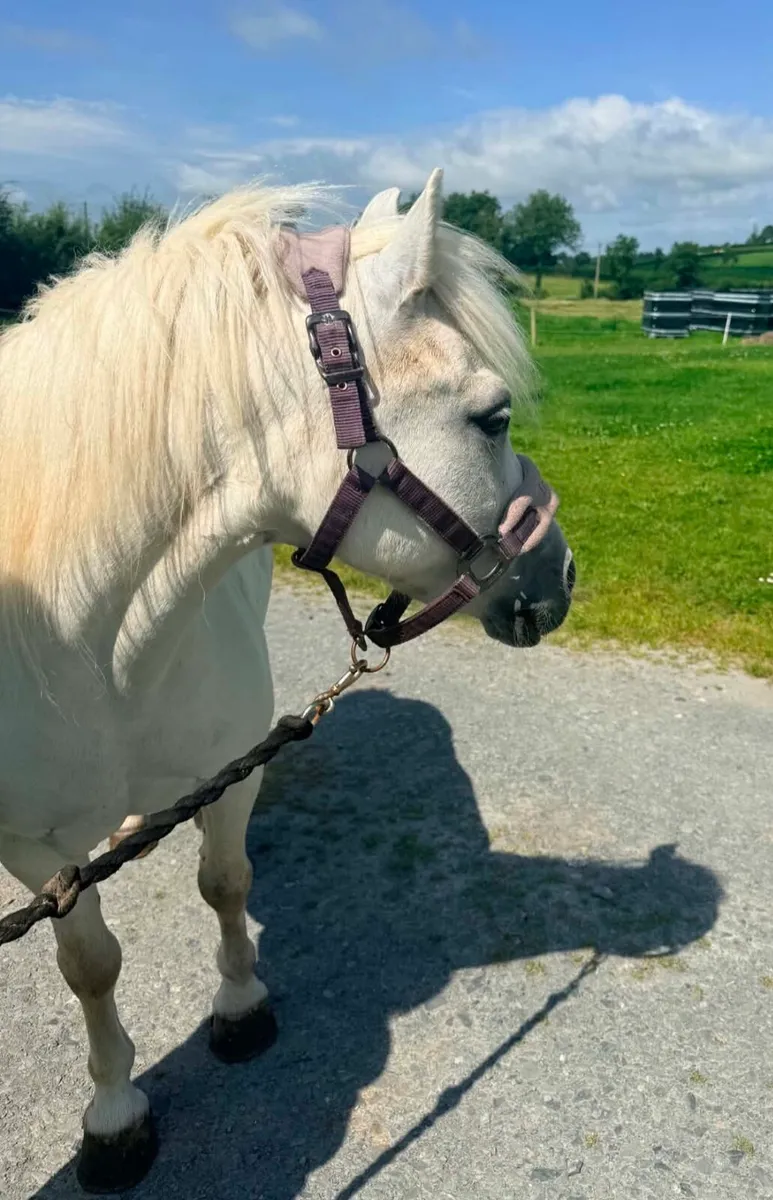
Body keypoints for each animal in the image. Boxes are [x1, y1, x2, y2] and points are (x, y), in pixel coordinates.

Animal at [0, 168, 573, 1192]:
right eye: (492, 416)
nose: (564, 575)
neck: (82, 642)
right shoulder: (31, 847)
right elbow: (89, 963)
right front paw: (114, 1115)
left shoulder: (233, 770)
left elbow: (225, 882)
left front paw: (240, 1008)